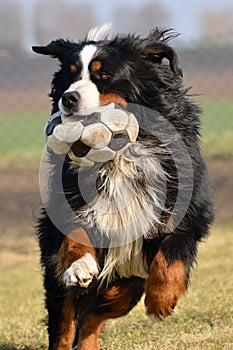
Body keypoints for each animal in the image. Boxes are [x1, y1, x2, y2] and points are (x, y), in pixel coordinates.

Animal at [31, 24, 214, 350]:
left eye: (103, 75)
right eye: (70, 76)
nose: (68, 98)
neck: (121, 156)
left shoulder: (189, 208)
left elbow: (172, 253)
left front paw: (161, 301)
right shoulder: (68, 202)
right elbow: (75, 234)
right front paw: (80, 266)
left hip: (126, 285)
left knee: (92, 316)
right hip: (65, 281)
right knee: (66, 324)